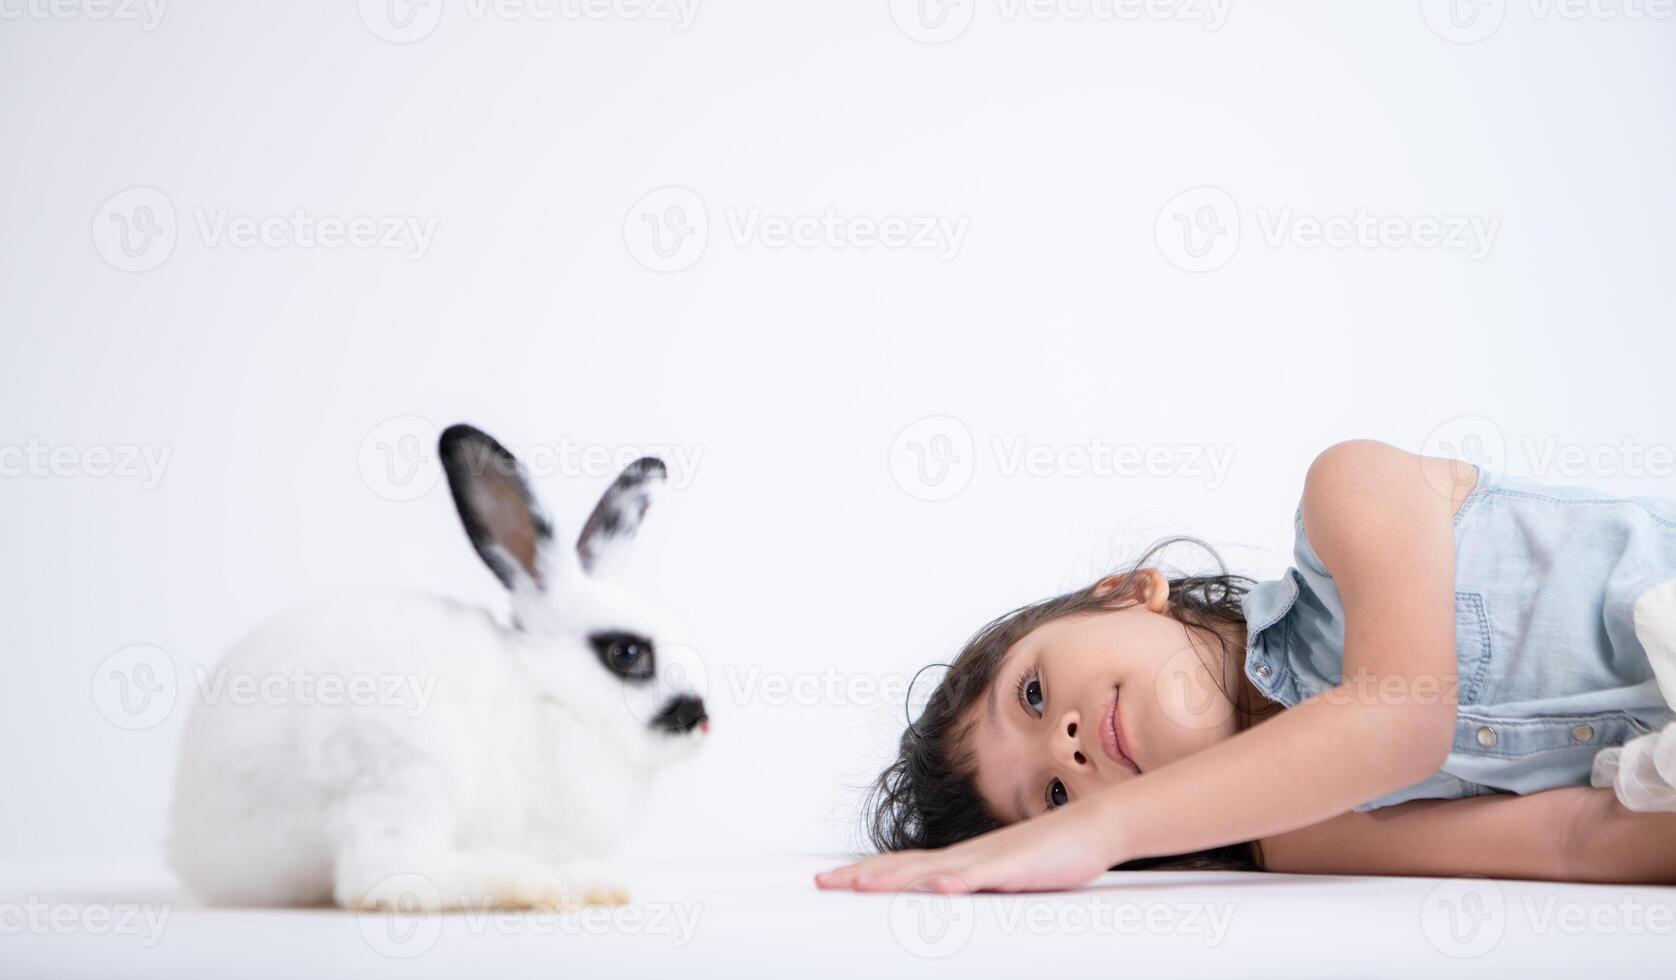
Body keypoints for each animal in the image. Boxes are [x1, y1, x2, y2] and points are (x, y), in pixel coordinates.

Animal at [161, 422, 700, 911]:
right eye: (627, 653)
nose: (699, 714)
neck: (554, 698)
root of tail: (193, 842)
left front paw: (597, 883)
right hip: (403, 770)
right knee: (381, 878)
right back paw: (523, 885)